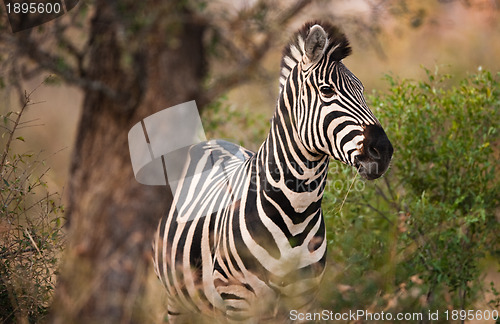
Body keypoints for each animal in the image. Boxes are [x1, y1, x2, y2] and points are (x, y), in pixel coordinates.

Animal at [150, 21, 392, 322]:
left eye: (362, 90)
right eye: (326, 91)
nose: (383, 150)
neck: (297, 212)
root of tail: (211, 141)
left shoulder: (304, 299)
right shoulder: (238, 299)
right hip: (177, 299)